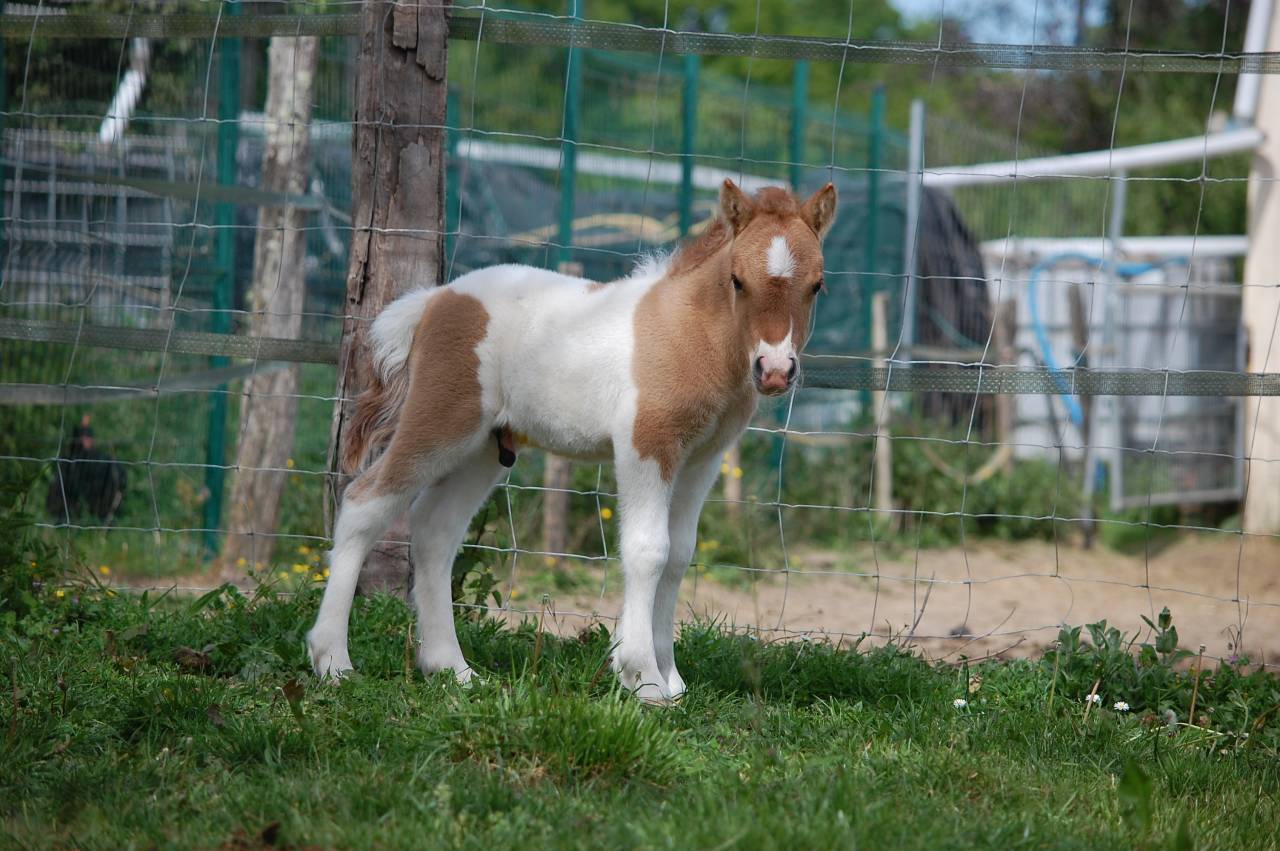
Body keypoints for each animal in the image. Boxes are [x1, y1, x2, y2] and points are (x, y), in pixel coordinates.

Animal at [307, 178, 837, 703]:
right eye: (737, 280)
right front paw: (642, 678)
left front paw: (670, 679)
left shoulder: (701, 459)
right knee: (364, 503)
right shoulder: (646, 445)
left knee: (436, 530)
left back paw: (453, 669)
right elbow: (649, 550)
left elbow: (679, 554)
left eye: (817, 285)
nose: (774, 371)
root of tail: (435, 298)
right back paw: (333, 662)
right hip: (441, 423)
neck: (690, 334)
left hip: (484, 449)